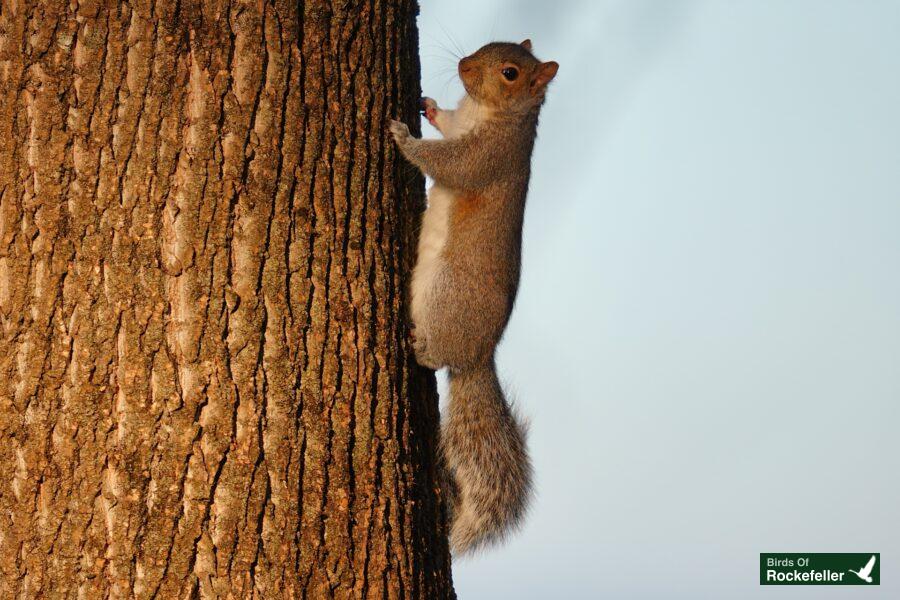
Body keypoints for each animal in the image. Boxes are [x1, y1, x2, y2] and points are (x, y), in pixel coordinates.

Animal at [390, 39, 560, 556]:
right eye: (488, 46)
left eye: (510, 73)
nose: (464, 65)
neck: (483, 110)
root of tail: (479, 354)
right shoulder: (459, 123)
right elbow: (444, 122)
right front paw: (426, 106)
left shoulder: (487, 154)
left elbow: (448, 163)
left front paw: (403, 136)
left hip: (445, 293)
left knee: (437, 355)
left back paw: (421, 348)